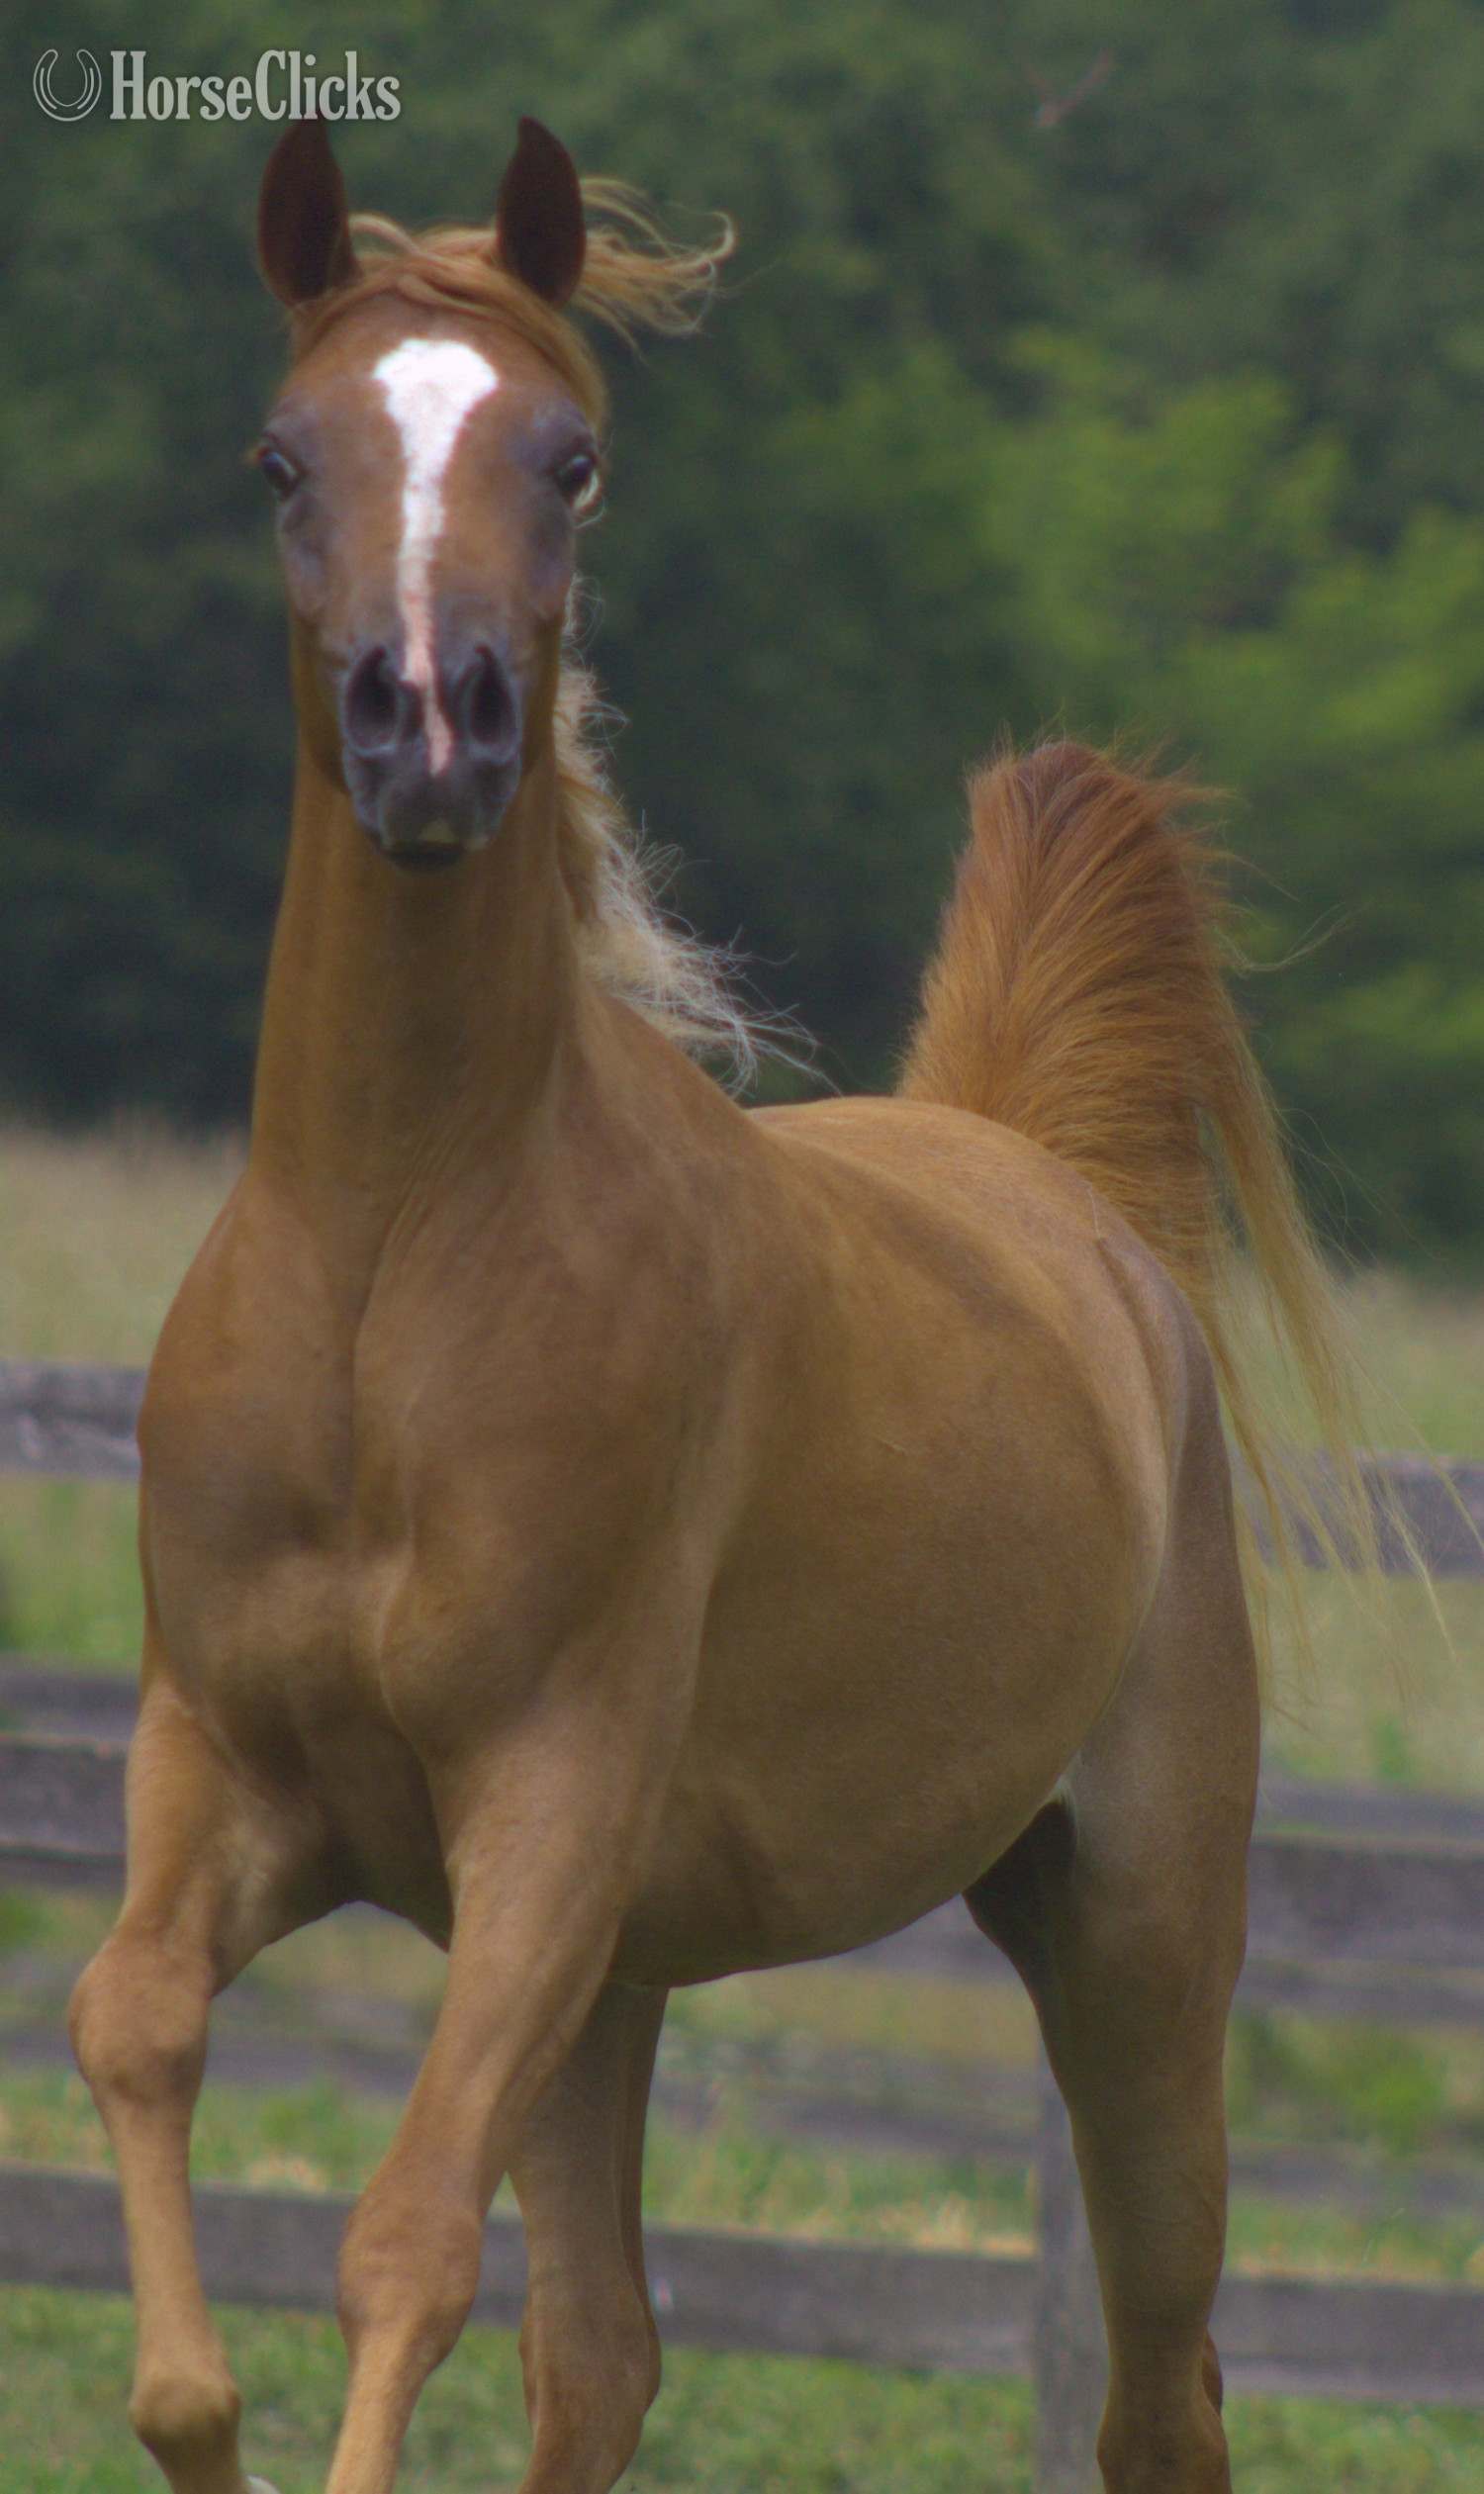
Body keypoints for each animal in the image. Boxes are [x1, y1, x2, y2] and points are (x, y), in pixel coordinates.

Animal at [68, 113, 1366, 2494]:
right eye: (282, 455)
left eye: (568, 457)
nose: (433, 735)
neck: (396, 1258)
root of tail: (1056, 1193)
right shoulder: (241, 1775)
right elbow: (133, 2037)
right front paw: (199, 2420)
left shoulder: (544, 1815)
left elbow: (402, 2242)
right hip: (626, 1979)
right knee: (606, 2356)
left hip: (1133, 1943)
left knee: (1163, 2381)